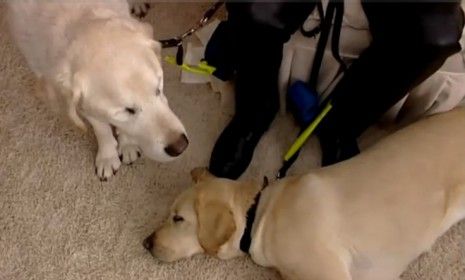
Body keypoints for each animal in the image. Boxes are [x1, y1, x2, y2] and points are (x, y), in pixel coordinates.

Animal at [6, 0, 186, 179]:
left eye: (158, 89)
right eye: (126, 111)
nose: (181, 146)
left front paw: (127, 145)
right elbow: (101, 127)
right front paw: (108, 156)